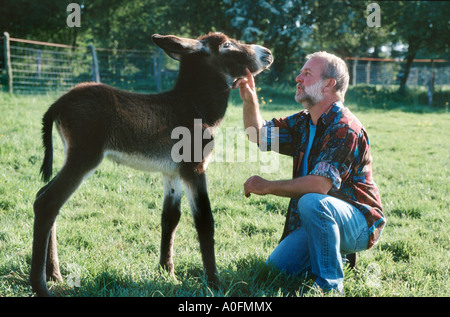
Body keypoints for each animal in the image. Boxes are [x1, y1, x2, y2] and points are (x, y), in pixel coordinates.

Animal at [30, 32, 274, 296]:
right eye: (227, 45)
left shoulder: (172, 172)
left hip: (72, 153)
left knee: (45, 197)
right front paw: (214, 284)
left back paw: (54, 274)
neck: (194, 106)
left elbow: (170, 217)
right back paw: (41, 286)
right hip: (85, 156)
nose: (268, 53)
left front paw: (167, 273)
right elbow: (204, 221)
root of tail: (60, 102)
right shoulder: (195, 169)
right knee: (48, 202)